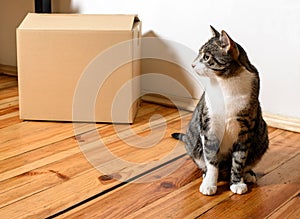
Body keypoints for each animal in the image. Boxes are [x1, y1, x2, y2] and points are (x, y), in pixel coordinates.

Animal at [172, 25, 268, 195]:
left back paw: (248, 174)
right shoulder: (209, 126)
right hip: (192, 140)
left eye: (206, 57)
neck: (226, 83)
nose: (192, 64)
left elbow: (239, 160)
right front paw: (209, 184)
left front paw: (237, 182)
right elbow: (211, 160)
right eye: (199, 53)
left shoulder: (245, 129)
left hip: (262, 134)